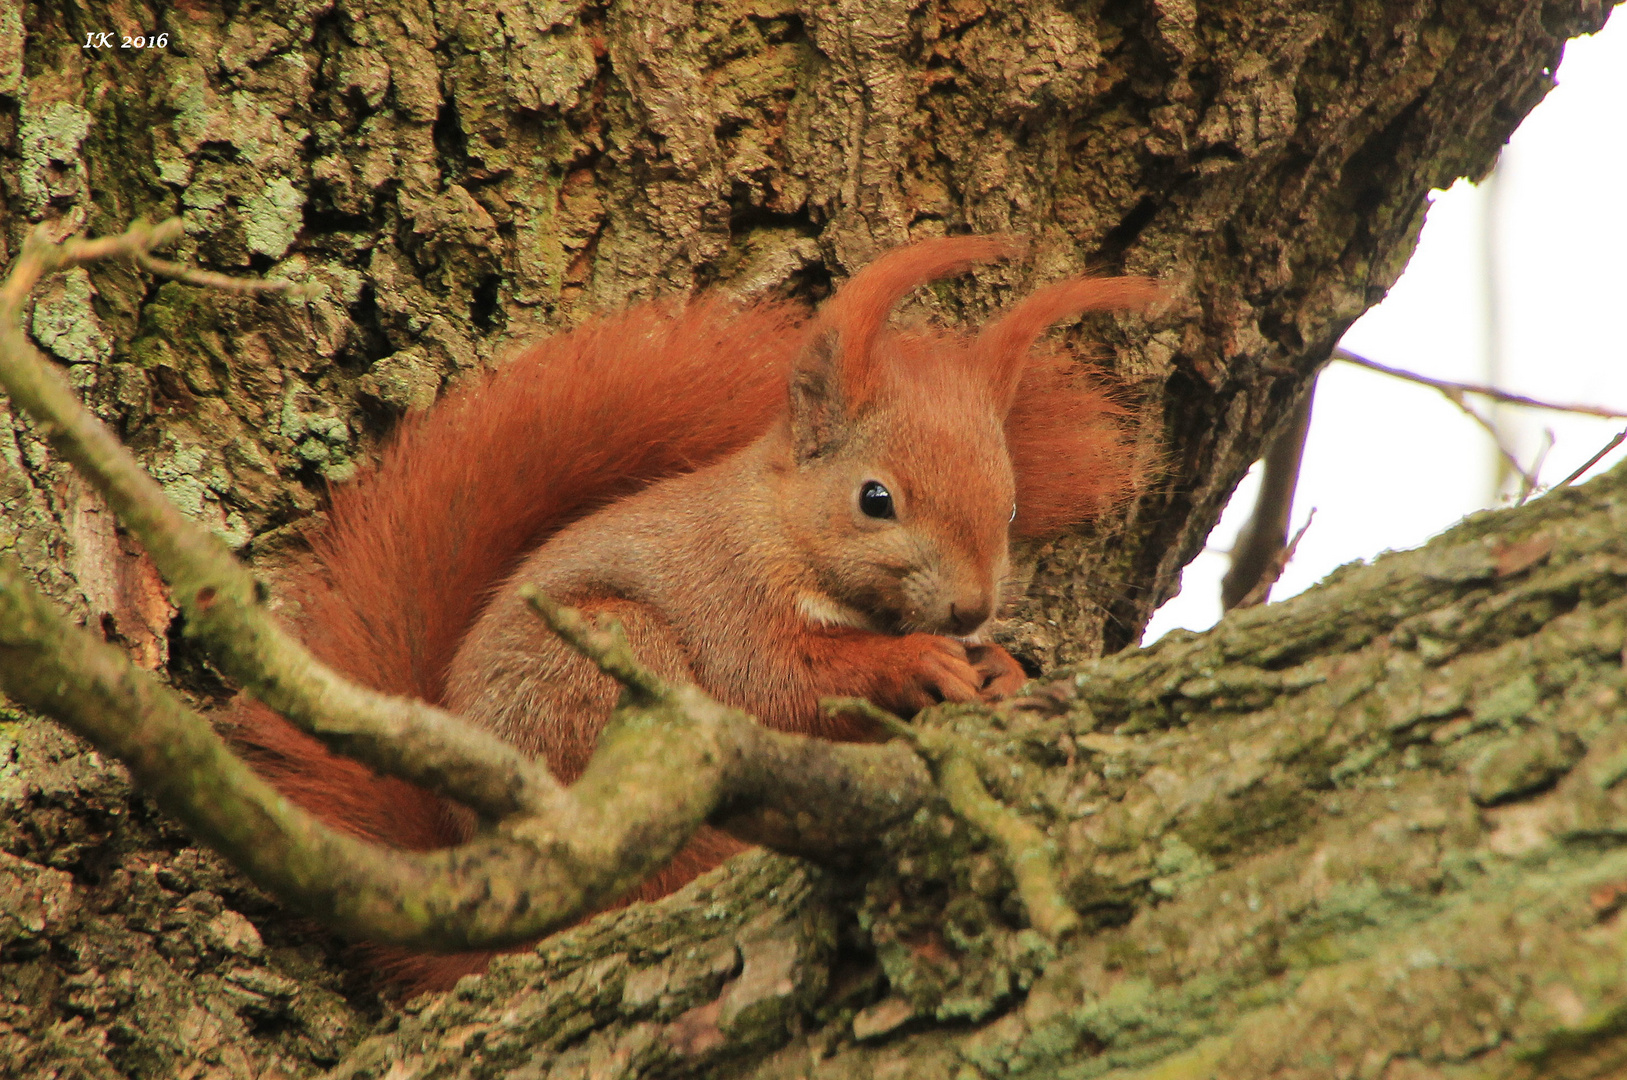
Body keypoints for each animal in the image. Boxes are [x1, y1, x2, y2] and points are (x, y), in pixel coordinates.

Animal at [237, 232, 1158, 988]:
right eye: (875, 500)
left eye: (1011, 508)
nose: (969, 612)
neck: (782, 530)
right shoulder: (728, 594)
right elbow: (775, 685)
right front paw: (914, 662)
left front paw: (1000, 670)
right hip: (602, 678)